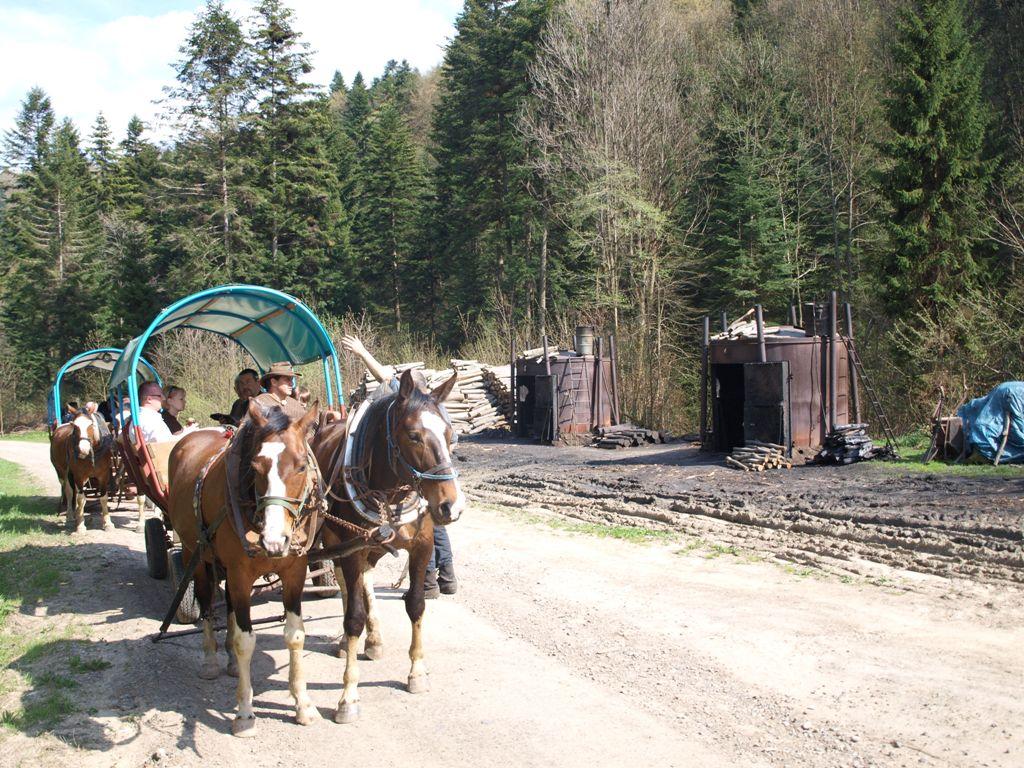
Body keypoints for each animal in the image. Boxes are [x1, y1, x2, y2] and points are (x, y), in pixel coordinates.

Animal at [167, 399, 319, 737]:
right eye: (256, 467)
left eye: (302, 466)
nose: (274, 540)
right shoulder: (239, 573)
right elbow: (245, 641)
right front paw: (245, 712)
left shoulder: (295, 572)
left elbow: (295, 636)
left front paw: (302, 704)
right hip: (195, 554)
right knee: (207, 603)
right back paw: (211, 660)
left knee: (229, 609)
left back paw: (232, 663)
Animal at [311, 370, 464, 724]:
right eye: (413, 435)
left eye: (450, 434)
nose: (451, 506)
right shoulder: (351, 548)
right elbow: (353, 615)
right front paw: (348, 696)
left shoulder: (422, 546)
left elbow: (416, 605)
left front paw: (417, 672)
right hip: (336, 540)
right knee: (346, 587)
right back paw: (350, 642)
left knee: (366, 581)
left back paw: (375, 639)